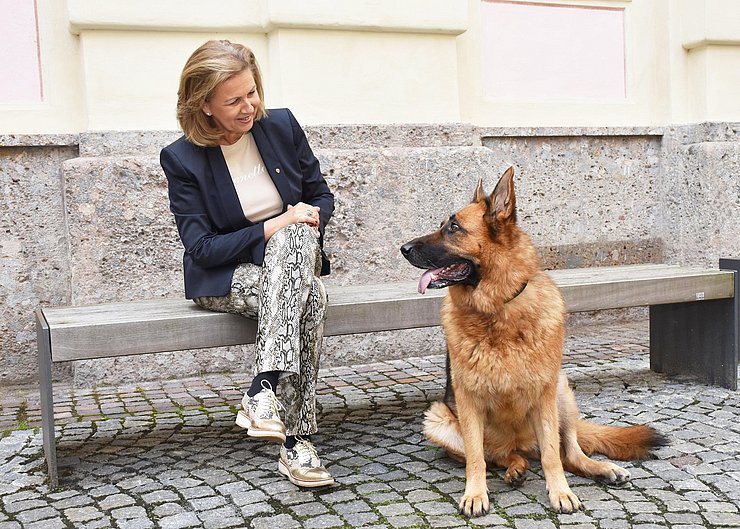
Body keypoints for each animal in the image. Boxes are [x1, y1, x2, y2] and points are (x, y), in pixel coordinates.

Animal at [402, 167, 668, 512]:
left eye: (454, 227)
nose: (403, 248)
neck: (498, 310)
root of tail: (522, 444)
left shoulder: (544, 395)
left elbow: (553, 457)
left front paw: (560, 492)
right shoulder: (467, 401)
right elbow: (477, 459)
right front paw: (475, 494)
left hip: (561, 391)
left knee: (569, 453)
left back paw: (600, 469)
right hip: (439, 419)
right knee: (501, 456)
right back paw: (515, 469)